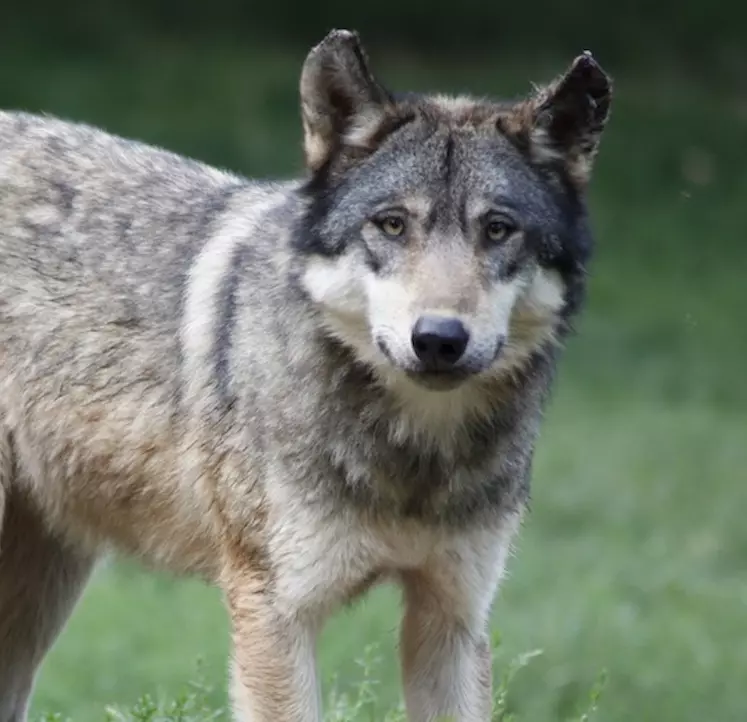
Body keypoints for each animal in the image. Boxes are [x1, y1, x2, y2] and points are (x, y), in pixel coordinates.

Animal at [0, 28, 612, 720]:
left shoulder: (453, 617)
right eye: (392, 224)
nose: (438, 339)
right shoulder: (276, 615)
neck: (412, 460)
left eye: (499, 229)